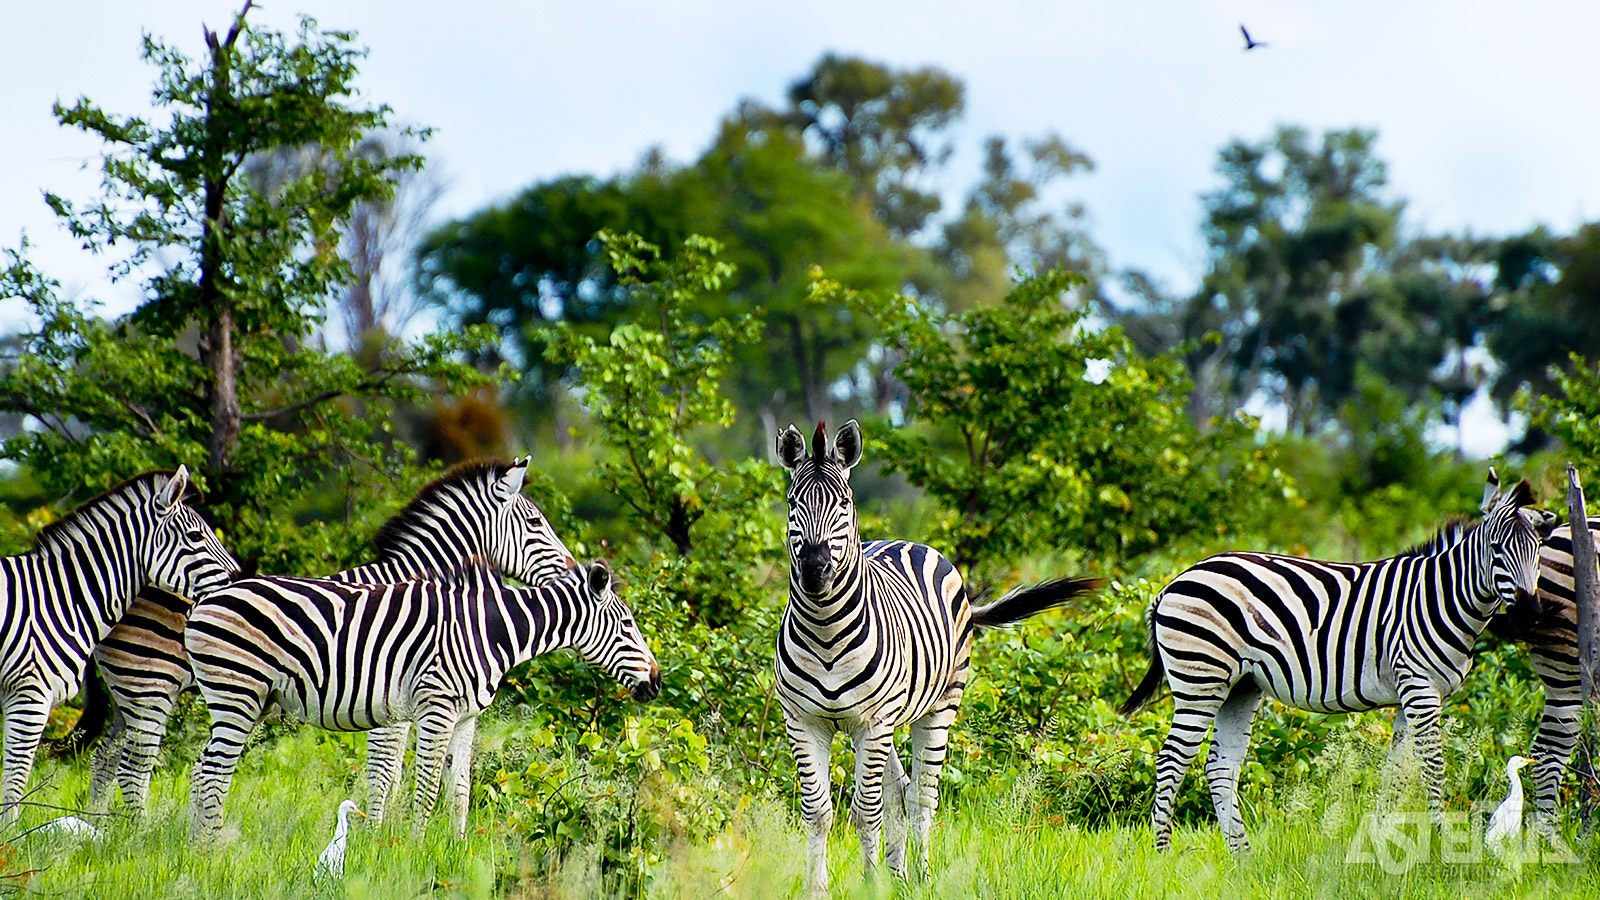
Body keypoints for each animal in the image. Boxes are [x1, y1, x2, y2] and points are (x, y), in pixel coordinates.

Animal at [0, 464, 236, 826]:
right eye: (196, 537)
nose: (239, 581)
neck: (58, 596)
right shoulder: (29, 693)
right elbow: (15, 778)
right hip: (150, 685)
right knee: (132, 768)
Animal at [86, 458, 576, 816]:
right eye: (536, 523)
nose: (576, 570)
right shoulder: (393, 706)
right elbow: (385, 777)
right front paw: (377, 841)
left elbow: (401, 778)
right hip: (153, 687)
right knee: (134, 769)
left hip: (131, 694)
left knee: (104, 761)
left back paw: (106, 834)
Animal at [185, 557, 656, 839]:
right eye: (628, 624)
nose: (656, 682)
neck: (491, 632)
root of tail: (207, 599)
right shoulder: (437, 706)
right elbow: (426, 790)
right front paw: (414, 848)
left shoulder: (466, 717)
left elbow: (461, 791)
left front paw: (459, 851)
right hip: (238, 690)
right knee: (215, 772)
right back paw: (213, 847)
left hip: (250, 698)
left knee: (200, 766)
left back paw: (191, 845)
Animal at [774, 422, 1100, 890]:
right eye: (792, 503)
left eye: (845, 504)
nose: (816, 570)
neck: (825, 632)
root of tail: (906, 541)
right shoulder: (804, 721)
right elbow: (819, 813)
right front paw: (819, 889)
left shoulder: (872, 722)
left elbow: (865, 811)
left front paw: (870, 886)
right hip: (887, 722)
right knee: (899, 790)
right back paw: (897, 874)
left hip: (939, 705)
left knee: (922, 795)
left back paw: (921, 876)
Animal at [1120, 470, 1555, 845]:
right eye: (1496, 550)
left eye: (1538, 549)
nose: (1530, 615)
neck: (1440, 598)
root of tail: (1175, 581)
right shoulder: (1420, 688)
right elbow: (1432, 765)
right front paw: (1442, 840)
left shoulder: (1408, 696)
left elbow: (1394, 773)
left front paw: (1382, 842)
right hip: (1201, 678)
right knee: (1171, 762)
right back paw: (1164, 853)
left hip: (1241, 685)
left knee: (1220, 767)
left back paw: (1241, 856)